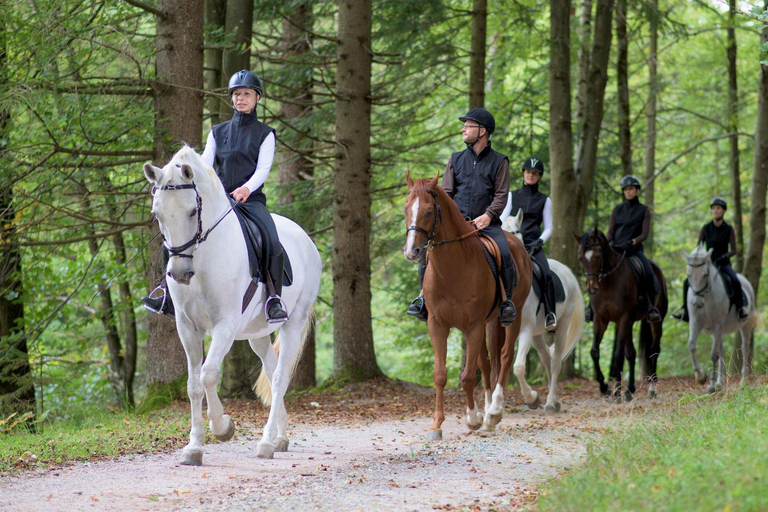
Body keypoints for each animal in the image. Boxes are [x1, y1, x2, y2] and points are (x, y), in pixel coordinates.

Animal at [144, 147, 320, 464]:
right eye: (157, 213)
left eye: (192, 211)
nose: (180, 273)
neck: (203, 258)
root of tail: (305, 239)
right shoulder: (187, 327)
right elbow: (193, 385)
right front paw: (194, 447)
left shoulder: (223, 325)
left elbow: (209, 374)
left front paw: (223, 426)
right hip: (257, 334)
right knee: (272, 370)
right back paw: (280, 437)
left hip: (294, 322)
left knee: (280, 377)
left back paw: (266, 443)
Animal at [402, 173, 528, 440]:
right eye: (406, 209)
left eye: (429, 211)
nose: (411, 251)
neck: (452, 268)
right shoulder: (438, 325)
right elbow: (441, 375)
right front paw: (437, 424)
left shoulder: (473, 326)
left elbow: (468, 377)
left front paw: (473, 419)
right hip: (489, 323)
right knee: (487, 362)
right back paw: (488, 411)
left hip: (514, 315)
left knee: (505, 356)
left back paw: (494, 411)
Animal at [500, 208, 584, 412]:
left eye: (514, 233)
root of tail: (568, 272)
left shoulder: (524, 330)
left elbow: (518, 367)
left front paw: (531, 398)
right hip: (536, 334)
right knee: (546, 358)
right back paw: (555, 400)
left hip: (561, 325)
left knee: (555, 362)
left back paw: (551, 402)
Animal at [576, 230, 664, 402]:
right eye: (580, 257)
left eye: (598, 255)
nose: (592, 288)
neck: (608, 283)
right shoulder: (600, 320)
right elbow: (595, 352)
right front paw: (604, 388)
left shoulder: (623, 318)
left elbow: (618, 355)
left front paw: (616, 392)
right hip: (629, 323)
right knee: (631, 353)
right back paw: (629, 390)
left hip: (655, 321)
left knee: (654, 350)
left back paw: (652, 389)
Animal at [684, 244, 756, 392]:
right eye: (689, 275)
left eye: (705, 274)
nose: (697, 303)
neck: (707, 297)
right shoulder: (695, 324)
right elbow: (691, 346)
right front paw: (700, 377)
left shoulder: (717, 324)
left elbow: (713, 355)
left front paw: (710, 386)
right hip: (717, 331)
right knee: (722, 350)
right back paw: (720, 383)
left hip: (744, 324)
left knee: (744, 348)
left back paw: (743, 381)